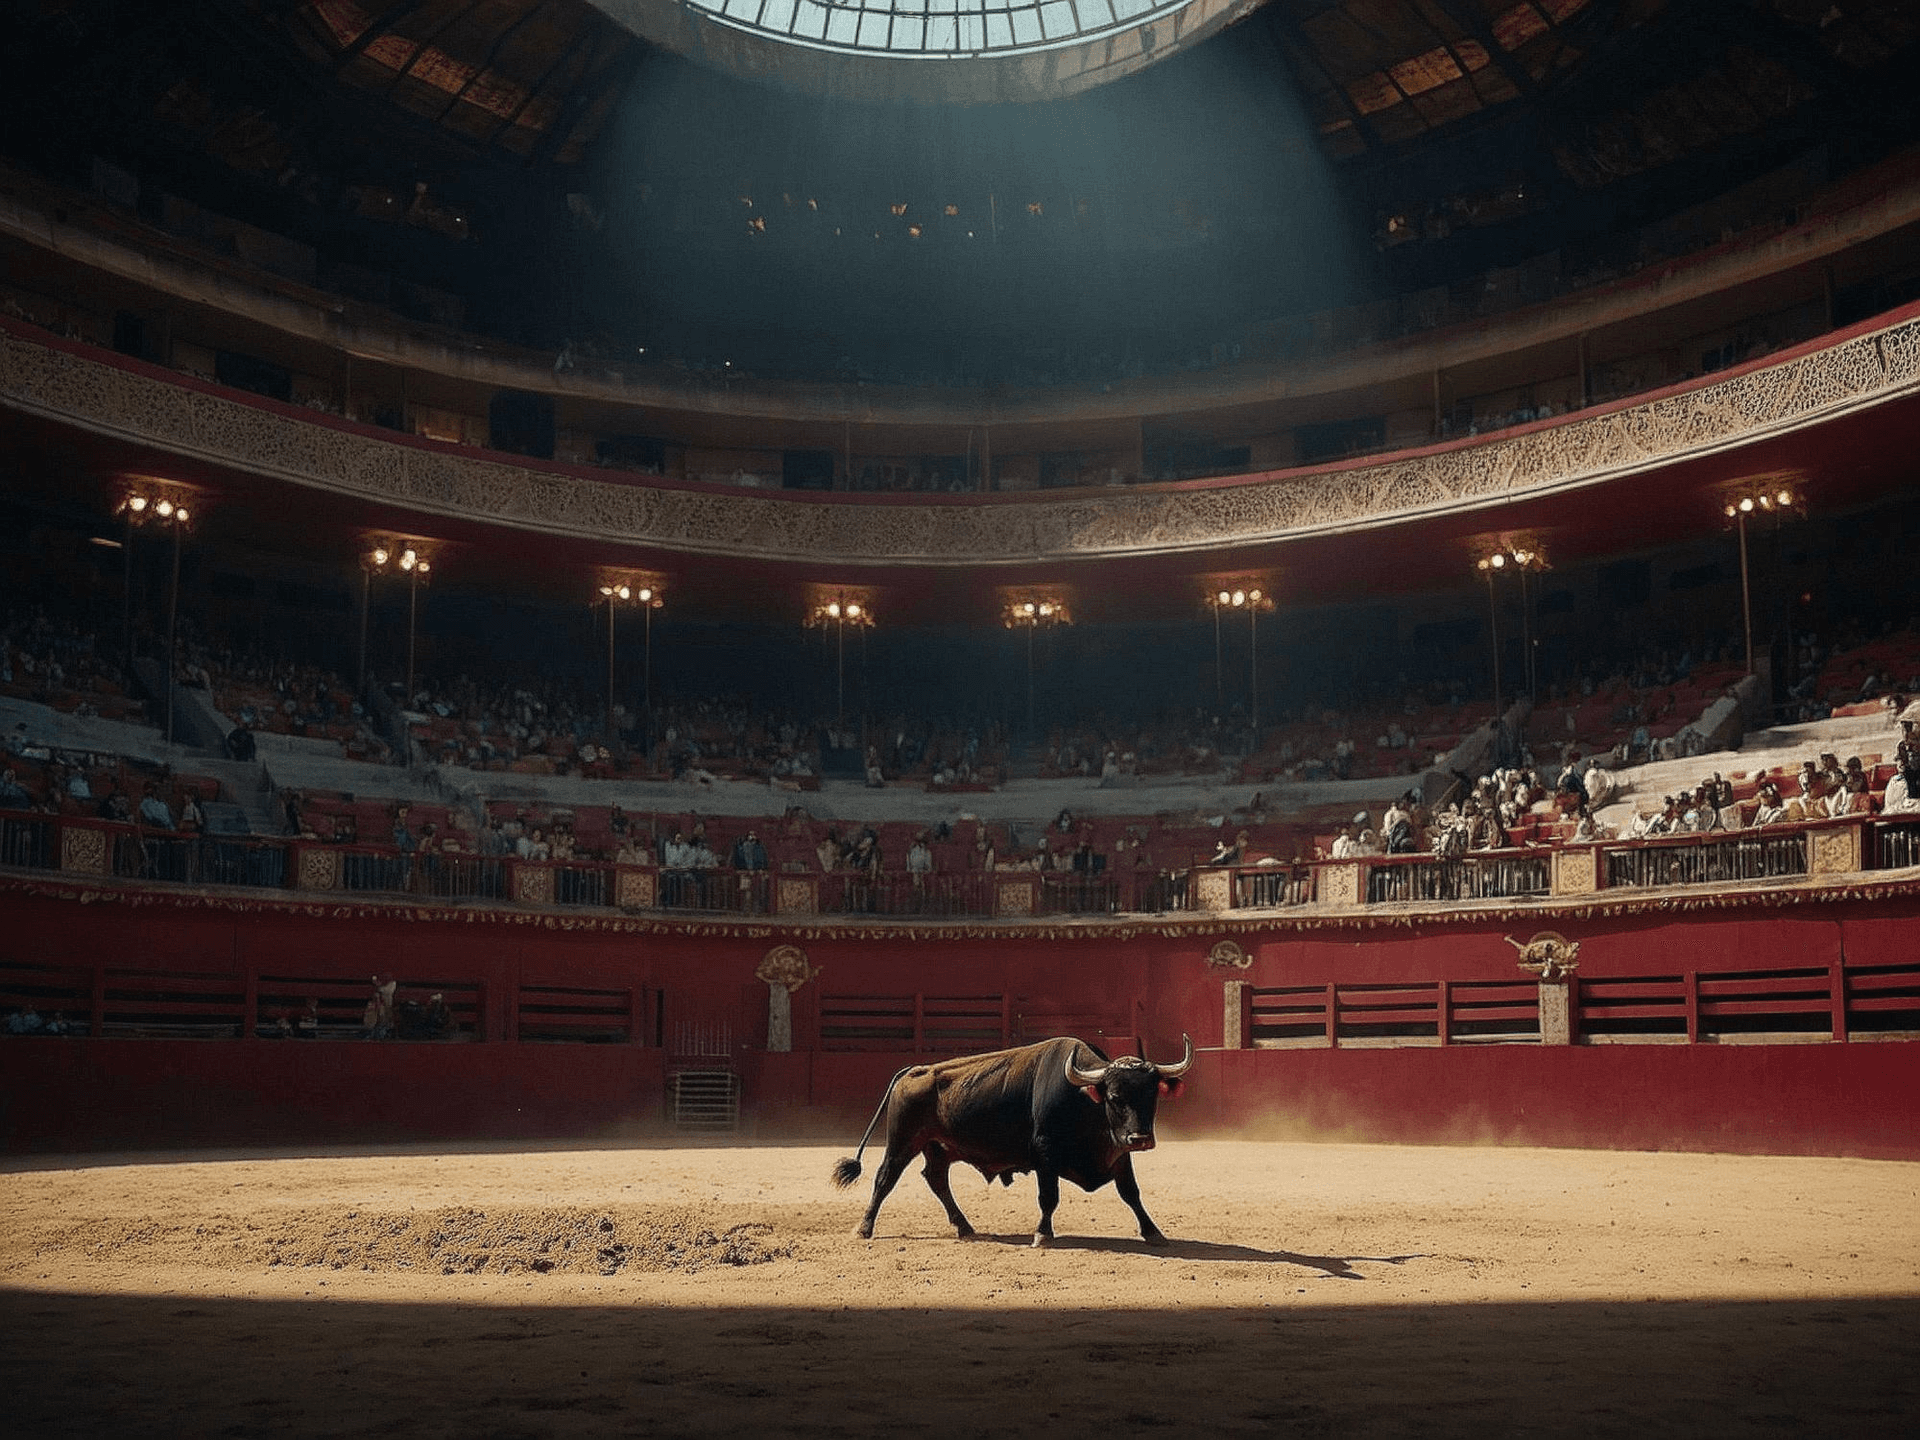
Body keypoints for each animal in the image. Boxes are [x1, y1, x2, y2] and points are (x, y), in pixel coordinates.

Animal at [830, 1034, 1193, 1247]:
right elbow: (1048, 1197)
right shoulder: (1045, 1153)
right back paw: (864, 1228)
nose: (1140, 1138)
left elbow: (1131, 1193)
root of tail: (914, 1070)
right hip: (903, 1142)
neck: (1084, 1102)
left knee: (936, 1179)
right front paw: (1043, 1234)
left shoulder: (1118, 1155)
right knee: (885, 1178)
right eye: (1115, 1097)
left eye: (1152, 1097)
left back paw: (964, 1227)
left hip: (938, 1148)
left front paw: (1153, 1232)